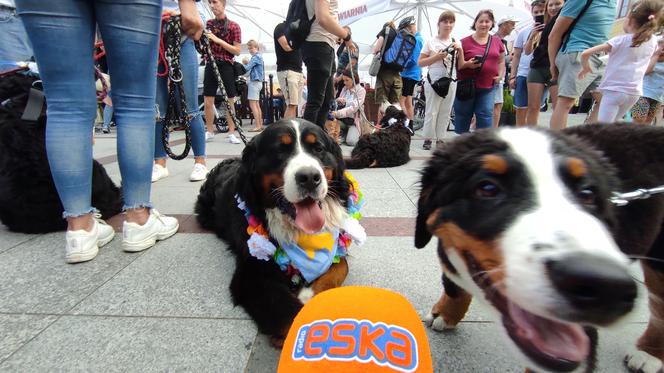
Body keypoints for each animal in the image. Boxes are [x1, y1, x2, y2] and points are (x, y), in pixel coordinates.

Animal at [195, 118, 366, 346]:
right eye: (280, 151)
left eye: (318, 149)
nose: (309, 177)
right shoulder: (251, 273)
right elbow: (288, 313)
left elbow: (341, 267)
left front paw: (307, 294)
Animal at [416, 125, 664, 372]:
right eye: (487, 188)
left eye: (587, 194)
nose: (604, 284)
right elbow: (454, 286)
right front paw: (445, 314)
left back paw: (649, 354)